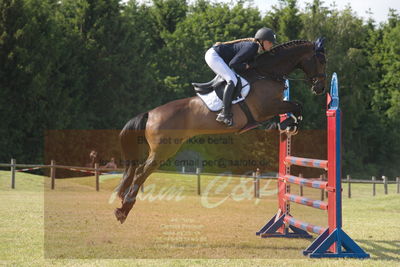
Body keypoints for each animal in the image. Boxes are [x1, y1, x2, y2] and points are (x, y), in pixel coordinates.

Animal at [114, 37, 326, 223]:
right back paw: (123, 210)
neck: (267, 73)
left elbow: (293, 108)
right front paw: (291, 124)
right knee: (141, 172)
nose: (320, 89)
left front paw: (285, 125)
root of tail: (150, 113)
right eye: (321, 61)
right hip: (163, 150)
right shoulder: (267, 107)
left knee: (138, 171)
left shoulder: (271, 108)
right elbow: (296, 106)